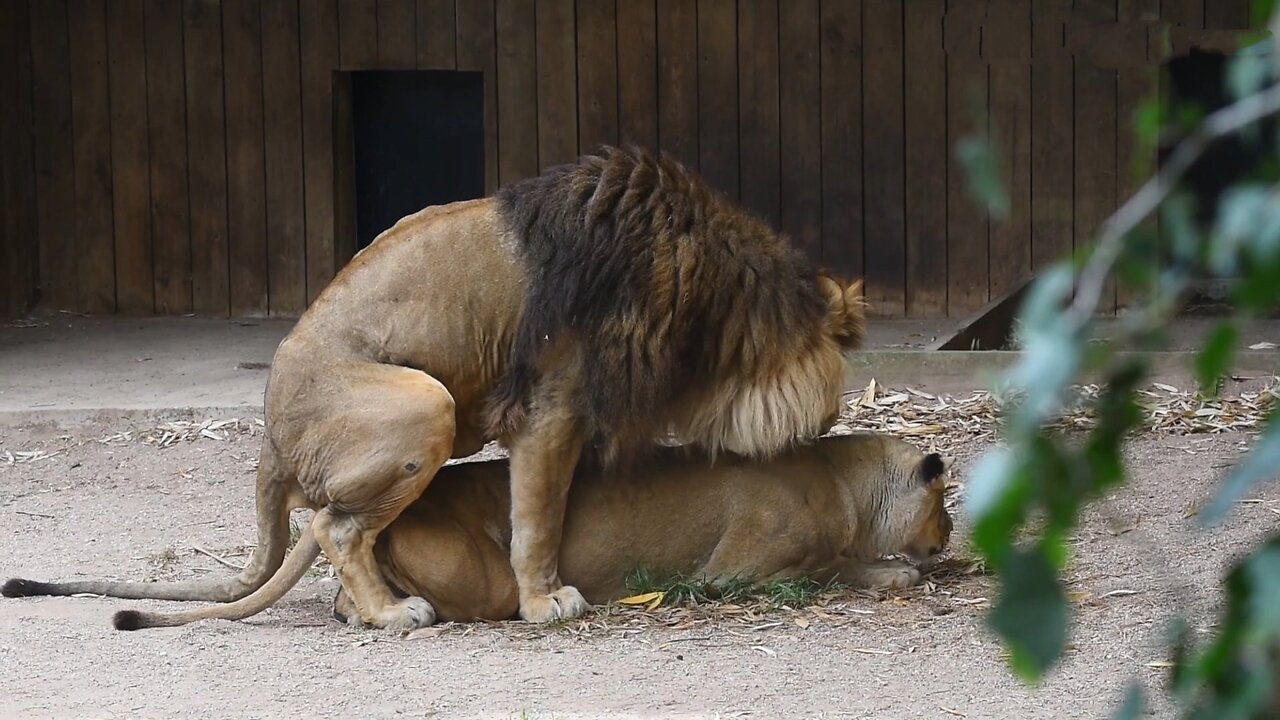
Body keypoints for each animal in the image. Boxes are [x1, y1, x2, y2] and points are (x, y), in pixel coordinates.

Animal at [0, 146, 865, 627]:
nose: (824, 440)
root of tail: (269, 440)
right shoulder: (551, 406)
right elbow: (537, 518)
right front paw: (544, 601)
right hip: (427, 403)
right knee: (336, 526)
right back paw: (392, 613)